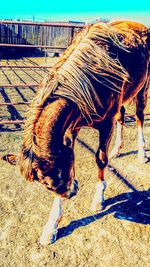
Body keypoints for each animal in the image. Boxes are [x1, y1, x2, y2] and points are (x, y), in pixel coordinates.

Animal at [1, 22, 150, 246]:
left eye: (59, 176)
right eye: (47, 185)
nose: (72, 192)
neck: (90, 80)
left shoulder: (105, 124)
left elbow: (100, 159)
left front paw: (98, 199)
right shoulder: (72, 127)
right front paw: (51, 227)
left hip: (143, 88)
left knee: (139, 118)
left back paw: (142, 154)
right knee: (122, 116)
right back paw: (117, 149)